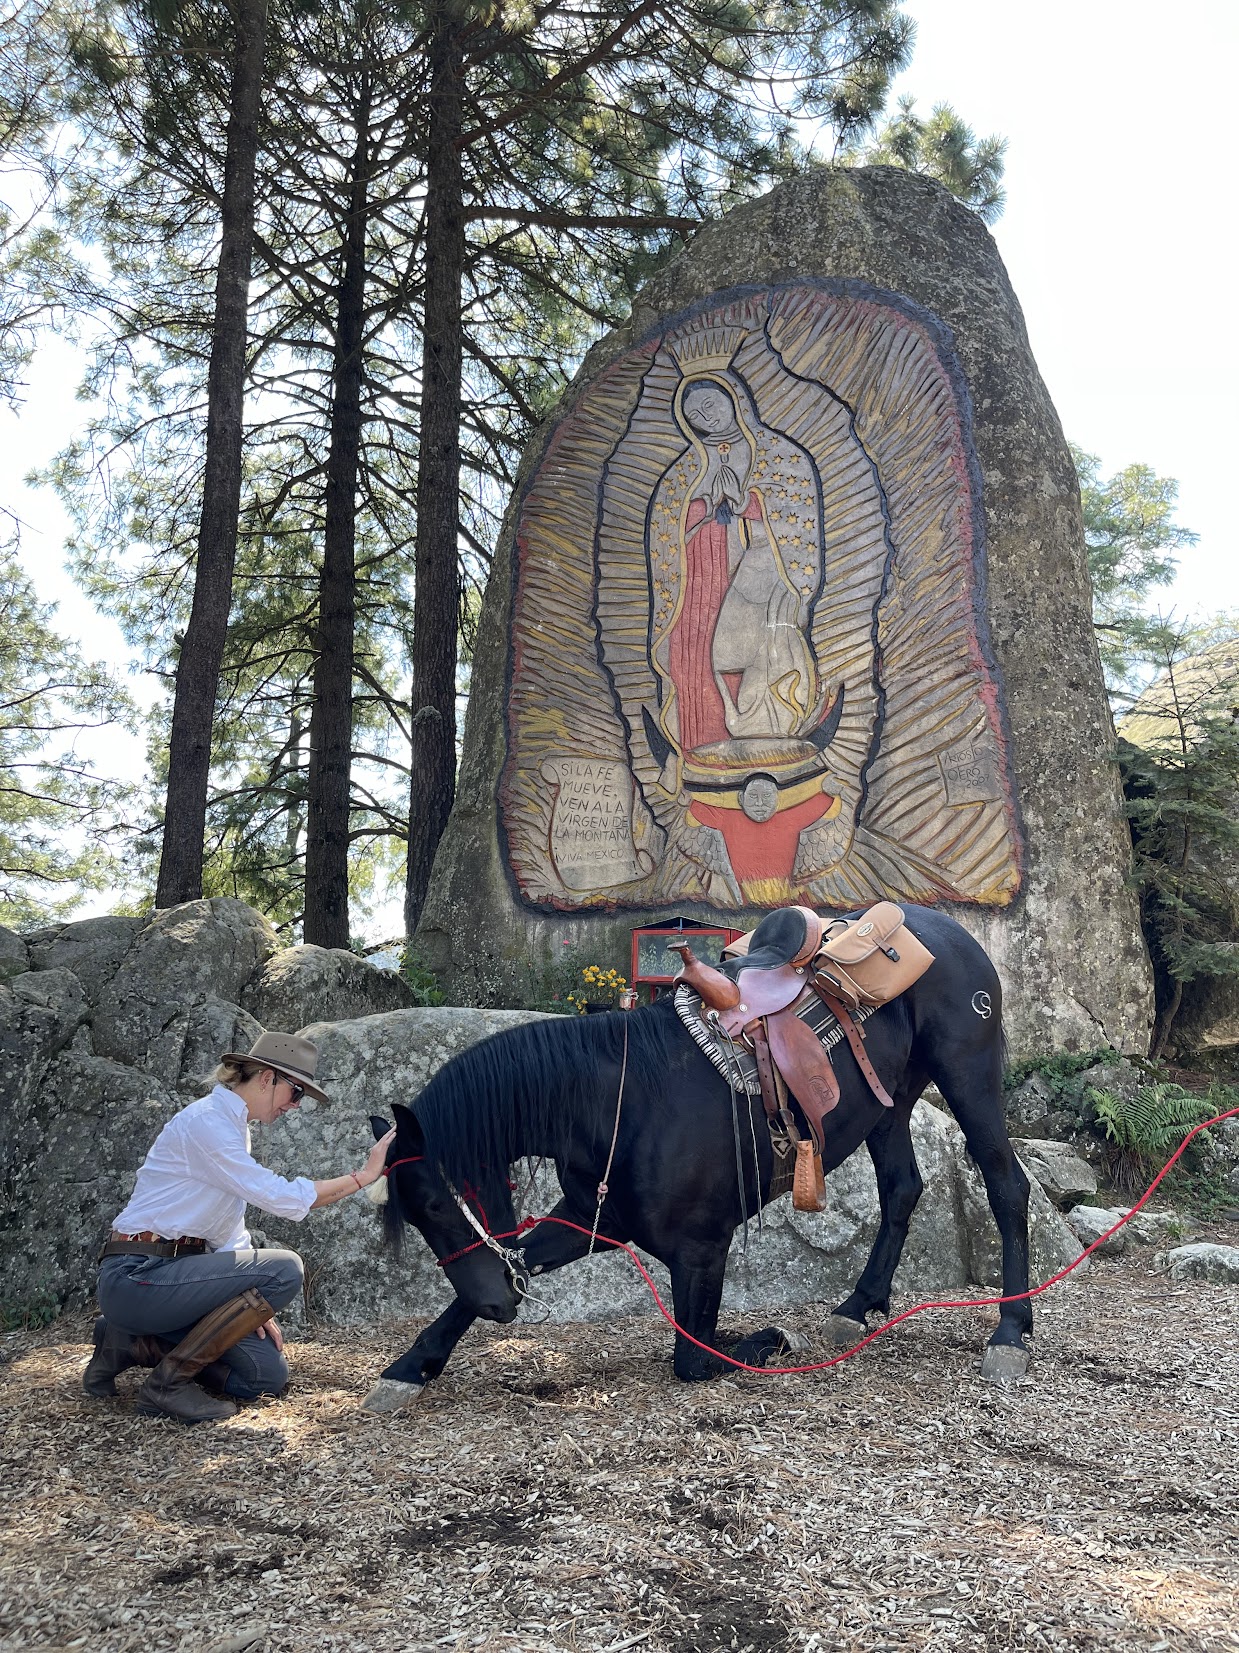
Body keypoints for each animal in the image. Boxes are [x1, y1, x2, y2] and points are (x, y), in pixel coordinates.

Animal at [368, 905, 1037, 1408]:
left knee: (1006, 1184)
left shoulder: (701, 1251)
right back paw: (858, 1305)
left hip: (968, 1075)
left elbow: (694, 1357)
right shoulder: (592, 1220)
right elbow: (521, 1260)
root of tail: (946, 928)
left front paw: (768, 1338)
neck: (622, 1102)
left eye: (435, 1202)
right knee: (901, 1189)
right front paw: (411, 1366)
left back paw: (1012, 1332)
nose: (498, 1307)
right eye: (415, 1214)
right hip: (888, 1103)